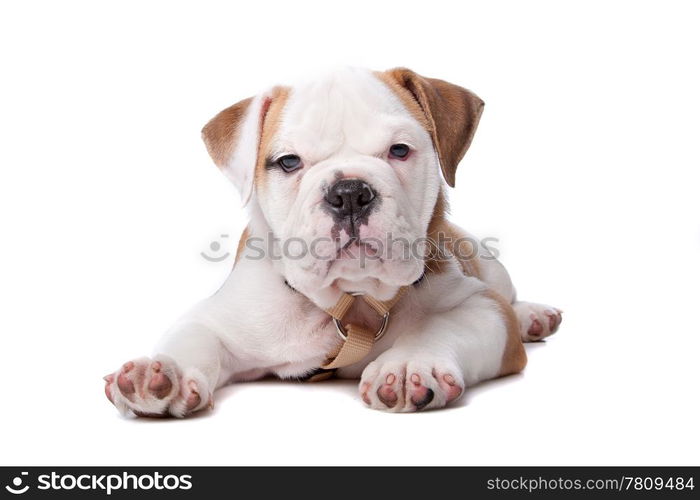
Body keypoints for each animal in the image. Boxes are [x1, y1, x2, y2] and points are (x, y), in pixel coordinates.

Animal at [104, 68, 564, 416]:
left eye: (400, 151)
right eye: (288, 162)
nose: (350, 193)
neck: (352, 300)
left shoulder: (483, 307)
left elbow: (446, 325)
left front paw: (409, 365)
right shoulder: (219, 317)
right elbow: (192, 339)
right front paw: (165, 373)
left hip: (487, 263)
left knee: (509, 295)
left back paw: (533, 316)